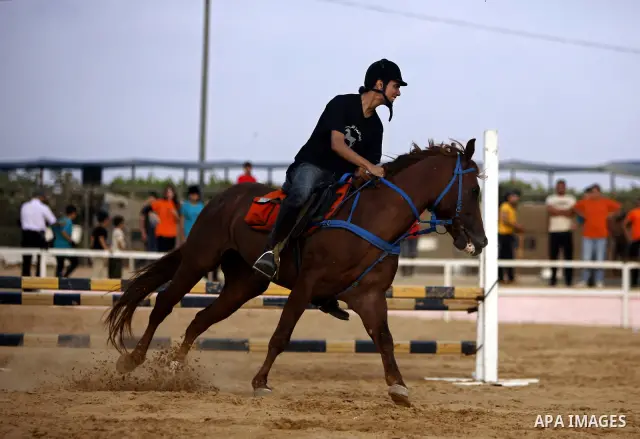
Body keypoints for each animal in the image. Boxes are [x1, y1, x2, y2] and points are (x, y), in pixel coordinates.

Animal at [104, 138, 488, 407]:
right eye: (474, 189)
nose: (482, 240)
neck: (371, 218)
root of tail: (223, 198)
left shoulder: (369, 296)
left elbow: (385, 339)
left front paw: (398, 387)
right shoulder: (306, 286)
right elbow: (281, 335)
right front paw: (260, 382)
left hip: (244, 284)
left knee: (200, 319)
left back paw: (174, 369)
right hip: (199, 259)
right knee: (164, 303)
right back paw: (132, 360)